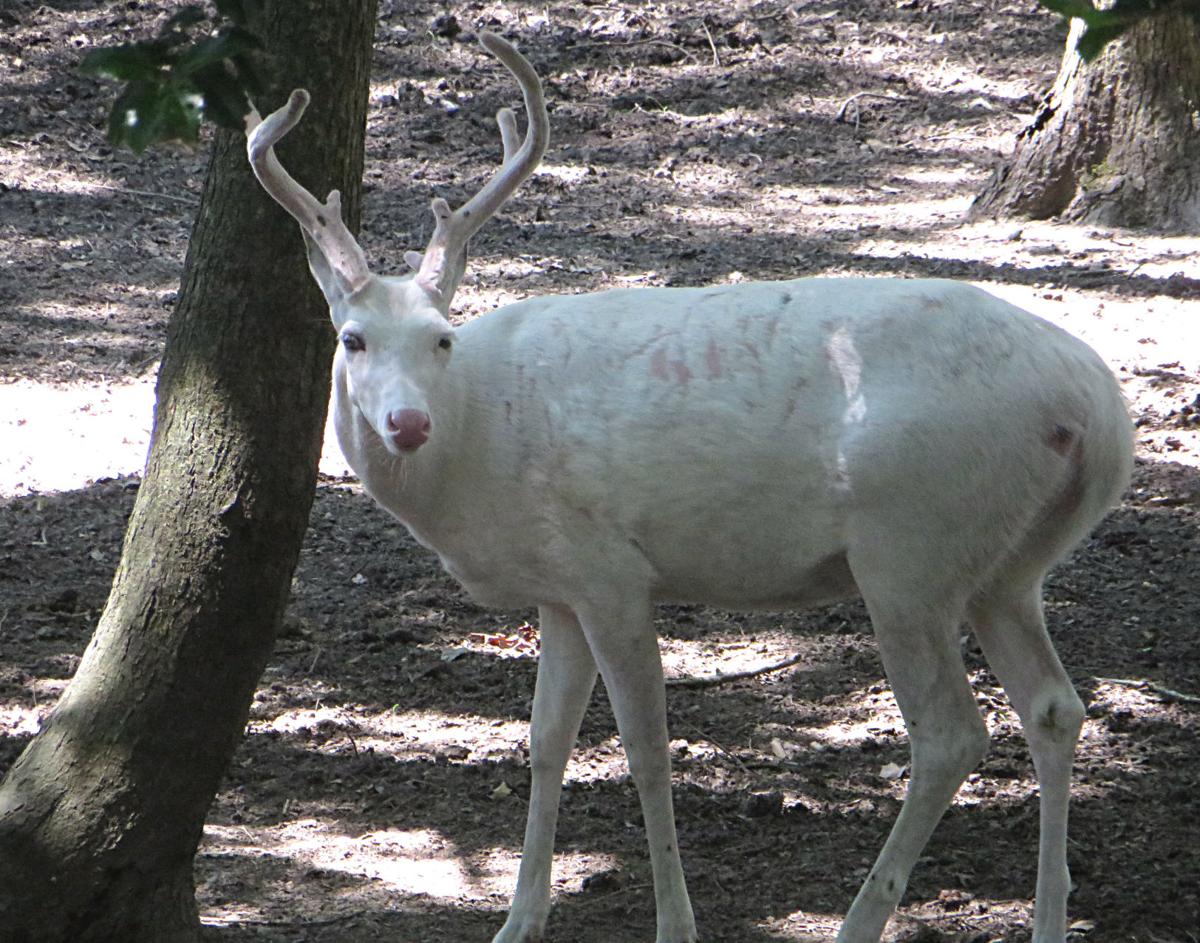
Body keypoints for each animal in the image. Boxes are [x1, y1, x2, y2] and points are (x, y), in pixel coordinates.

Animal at [246, 32, 1133, 943]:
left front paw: (675, 921)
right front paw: (519, 918)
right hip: (1008, 564)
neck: (479, 449)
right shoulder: (560, 585)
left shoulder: (612, 568)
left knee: (952, 733)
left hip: (912, 543)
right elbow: (544, 740)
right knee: (1054, 705)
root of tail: (1097, 413)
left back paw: (860, 918)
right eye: (351, 338)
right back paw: (1049, 917)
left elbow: (645, 748)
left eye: (441, 339)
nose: (407, 422)